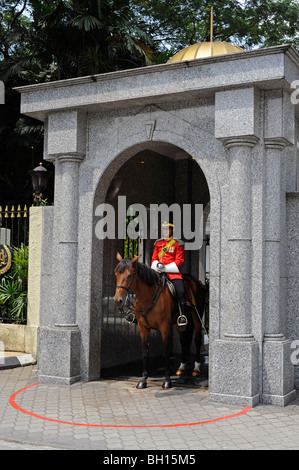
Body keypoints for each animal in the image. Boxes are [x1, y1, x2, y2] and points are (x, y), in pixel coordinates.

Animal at [113, 253, 206, 390]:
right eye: (116, 274)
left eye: (130, 275)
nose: (118, 300)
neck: (147, 296)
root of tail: (196, 281)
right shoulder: (142, 327)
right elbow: (145, 352)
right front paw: (143, 380)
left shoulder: (164, 327)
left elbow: (166, 352)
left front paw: (167, 381)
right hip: (180, 323)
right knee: (183, 340)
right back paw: (182, 367)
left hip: (197, 316)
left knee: (198, 340)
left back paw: (196, 368)